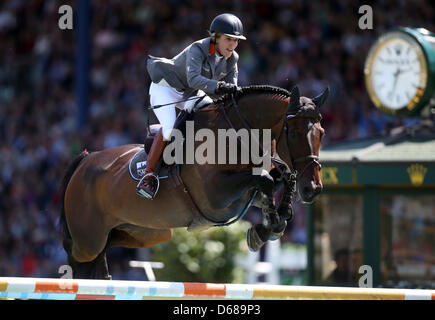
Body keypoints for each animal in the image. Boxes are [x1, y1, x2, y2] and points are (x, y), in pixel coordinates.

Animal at [60, 84, 328, 278]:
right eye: (294, 133)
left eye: (322, 133)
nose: (313, 189)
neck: (238, 135)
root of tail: (86, 160)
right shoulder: (215, 196)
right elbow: (265, 180)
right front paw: (265, 228)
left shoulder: (242, 196)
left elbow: (276, 180)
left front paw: (272, 224)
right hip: (88, 240)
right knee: (74, 252)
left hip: (149, 232)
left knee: (104, 252)